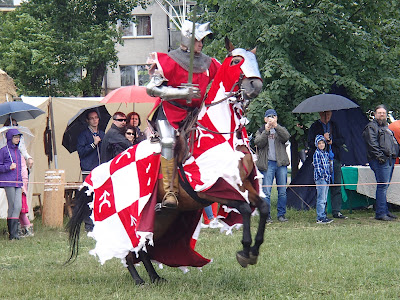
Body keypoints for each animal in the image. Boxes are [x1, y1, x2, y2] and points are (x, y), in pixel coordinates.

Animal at [67, 38, 268, 284]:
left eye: (254, 59)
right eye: (236, 61)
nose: (254, 86)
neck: (220, 133)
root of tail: (101, 172)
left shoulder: (244, 184)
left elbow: (263, 207)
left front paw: (254, 250)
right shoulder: (210, 190)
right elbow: (246, 209)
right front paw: (245, 252)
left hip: (160, 217)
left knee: (144, 245)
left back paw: (154, 276)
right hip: (131, 216)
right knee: (130, 247)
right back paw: (138, 279)